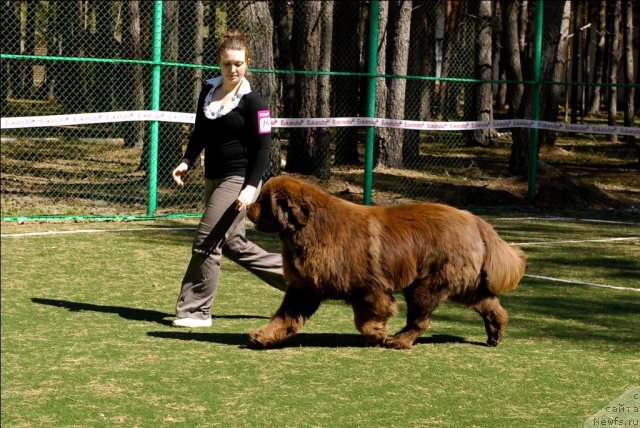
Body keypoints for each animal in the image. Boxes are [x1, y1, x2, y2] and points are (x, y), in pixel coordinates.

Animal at [245, 176, 524, 350]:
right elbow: (285, 317)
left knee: (421, 319)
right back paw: (496, 334)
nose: (246, 207)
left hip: (427, 285)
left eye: (263, 201)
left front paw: (377, 333)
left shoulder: (368, 288)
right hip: (462, 285)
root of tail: (473, 219)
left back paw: (399, 341)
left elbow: (369, 317)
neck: (309, 229)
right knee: (489, 303)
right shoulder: (305, 289)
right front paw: (263, 336)